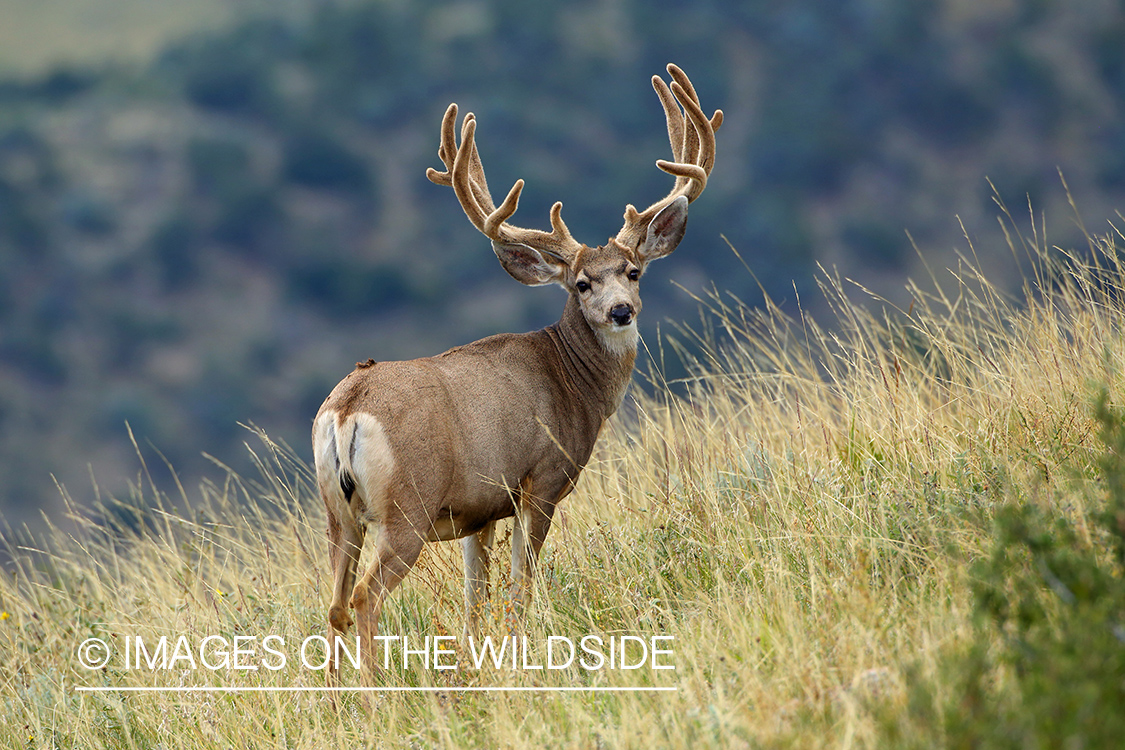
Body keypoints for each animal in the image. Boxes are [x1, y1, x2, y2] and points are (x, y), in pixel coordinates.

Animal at [312, 63, 721, 678]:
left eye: (633, 271)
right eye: (582, 284)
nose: (621, 310)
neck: (571, 381)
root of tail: (347, 409)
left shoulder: (476, 512)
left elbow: (474, 597)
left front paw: (471, 665)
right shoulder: (541, 480)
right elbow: (520, 587)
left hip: (339, 514)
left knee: (333, 603)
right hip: (404, 509)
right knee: (364, 597)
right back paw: (377, 690)